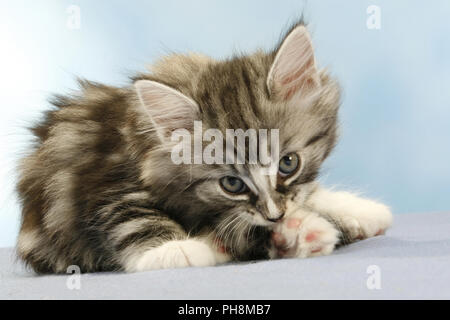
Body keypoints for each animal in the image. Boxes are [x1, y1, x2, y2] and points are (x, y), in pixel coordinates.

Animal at [15, 21, 392, 272]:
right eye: (232, 184)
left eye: (289, 163)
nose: (276, 216)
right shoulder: (100, 180)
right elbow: (131, 214)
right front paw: (173, 251)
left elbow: (304, 193)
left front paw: (352, 211)